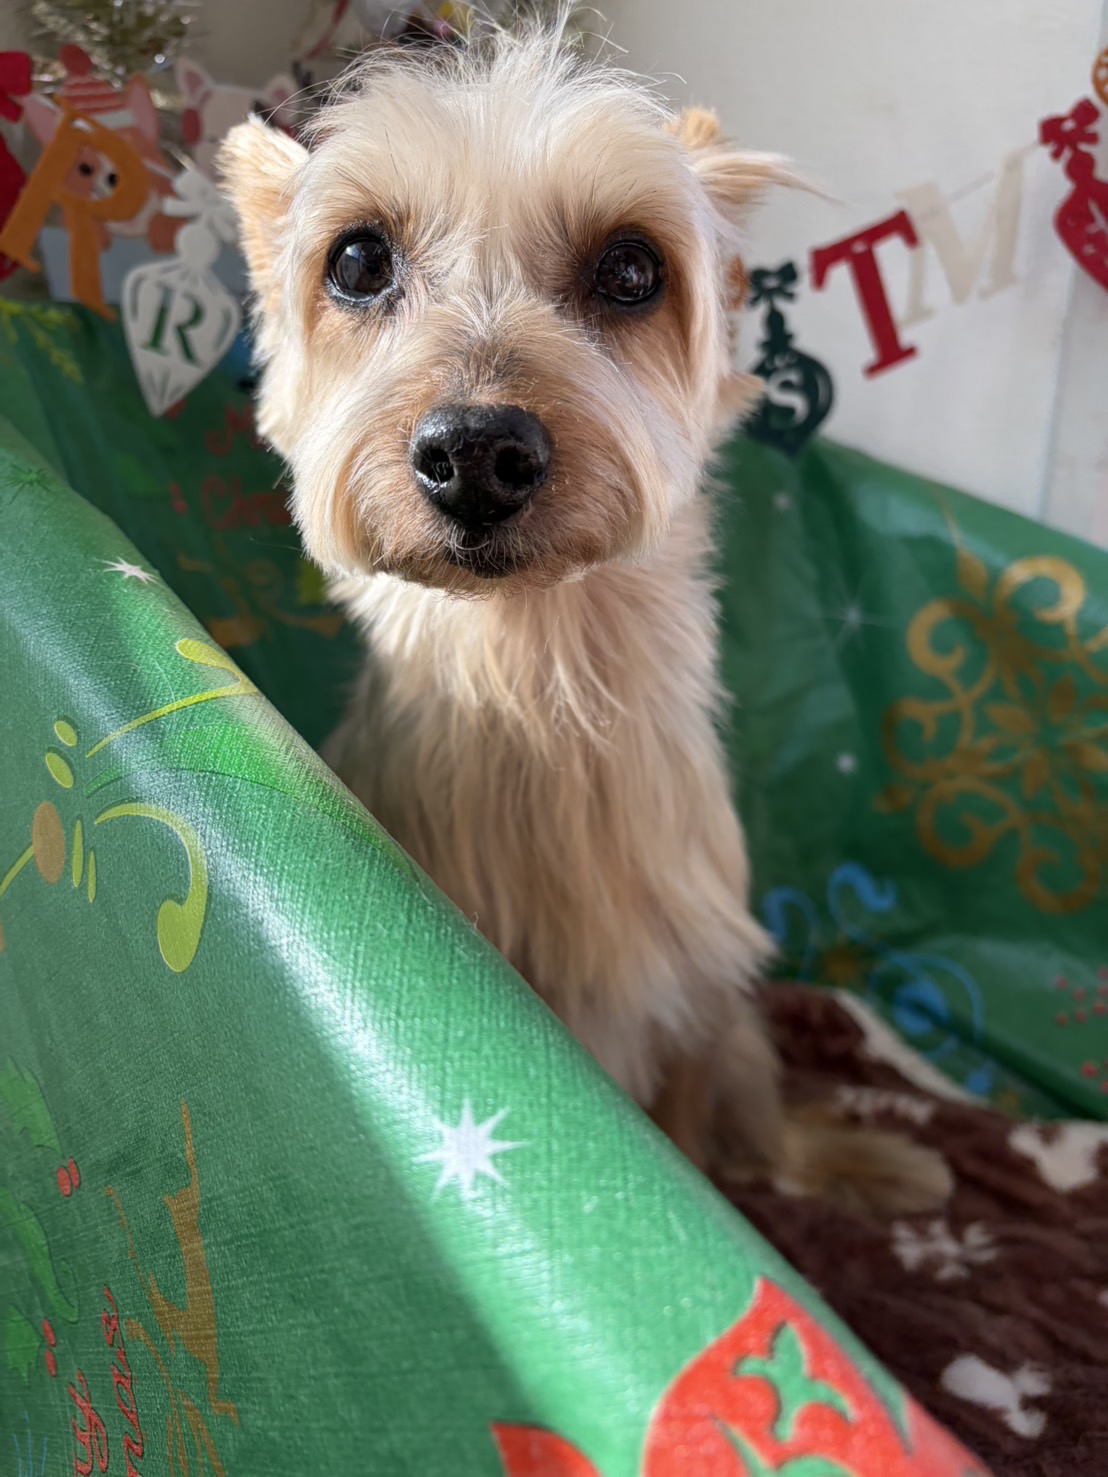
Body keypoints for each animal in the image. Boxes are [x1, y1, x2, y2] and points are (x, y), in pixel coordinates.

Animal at [220, 21, 951, 1215]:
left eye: (632, 268)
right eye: (359, 261)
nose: (476, 450)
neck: (536, 675)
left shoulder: (690, 991)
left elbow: (693, 1131)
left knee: (758, 1132)